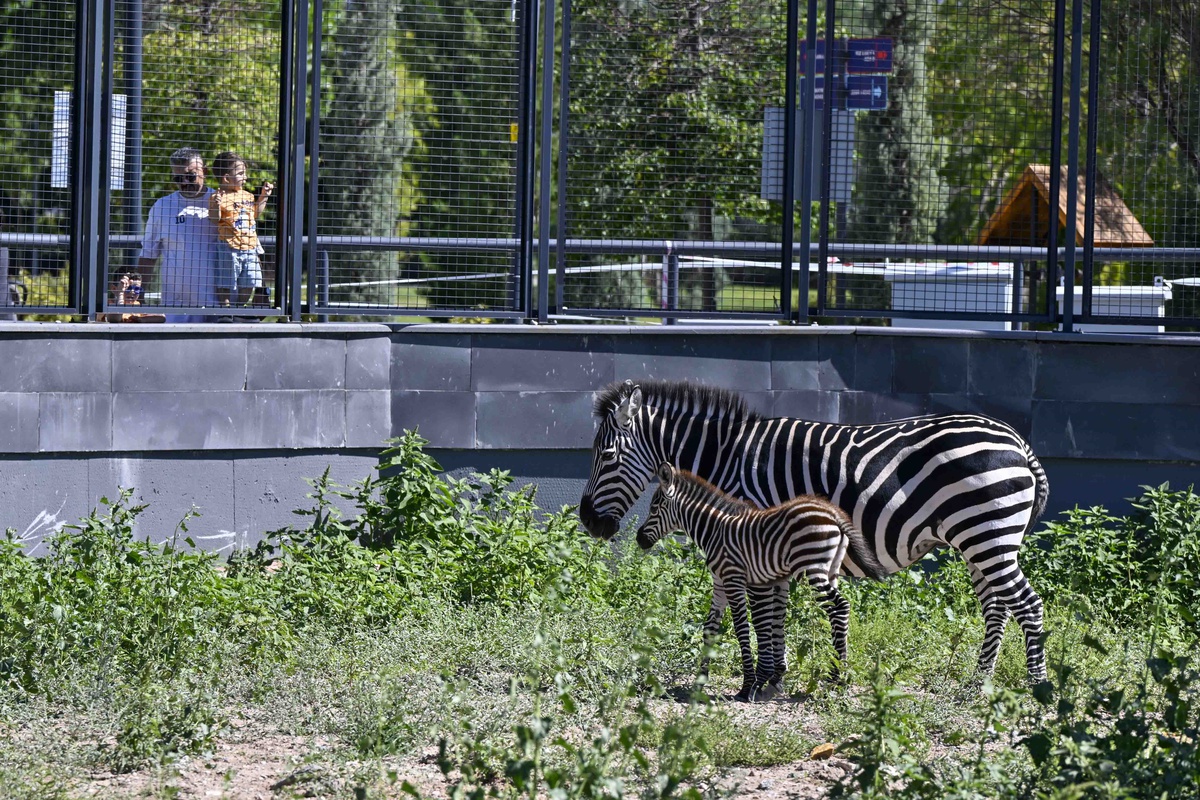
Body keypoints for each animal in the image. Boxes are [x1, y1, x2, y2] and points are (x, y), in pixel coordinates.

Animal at [637, 463, 889, 700]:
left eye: (654, 508)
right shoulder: (720, 584)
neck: (714, 530)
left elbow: (742, 629)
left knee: (840, 606)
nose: (639, 539)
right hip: (831, 571)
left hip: (811, 569)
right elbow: (710, 628)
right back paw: (839, 676)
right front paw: (700, 680)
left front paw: (746, 686)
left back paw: (835, 677)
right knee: (837, 612)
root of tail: (832, 513)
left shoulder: (733, 579)